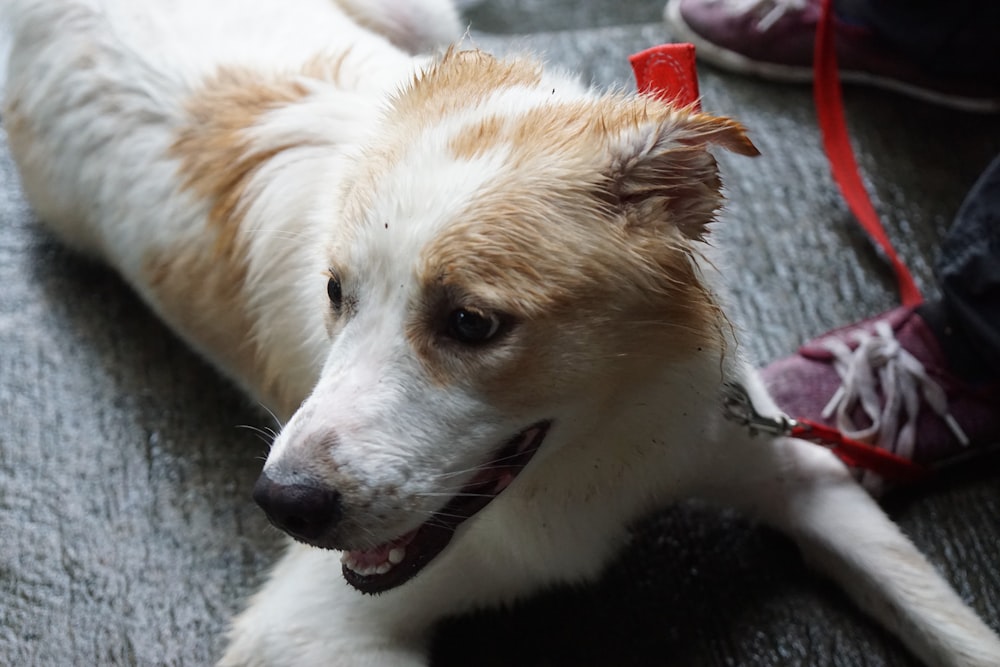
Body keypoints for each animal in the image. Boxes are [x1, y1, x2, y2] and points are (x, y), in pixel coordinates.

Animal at [7, 1, 1000, 667]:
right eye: (335, 294)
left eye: (471, 322)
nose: (281, 502)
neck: (608, 446)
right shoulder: (306, 628)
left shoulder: (786, 461)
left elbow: (943, 616)